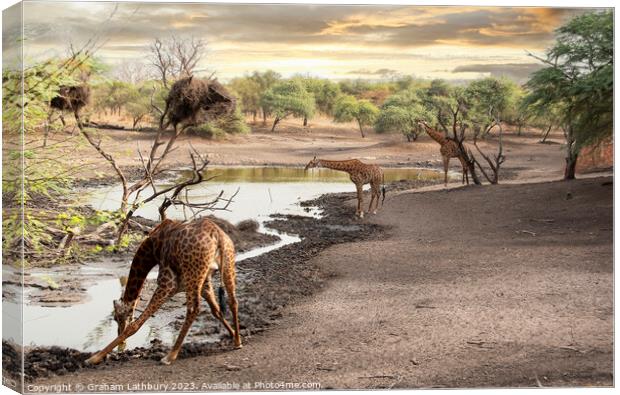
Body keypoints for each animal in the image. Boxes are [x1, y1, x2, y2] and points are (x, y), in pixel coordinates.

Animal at [86, 218, 241, 366]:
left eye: (116, 318)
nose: (121, 342)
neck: (153, 248)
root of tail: (217, 234)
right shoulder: (205, 285)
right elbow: (216, 311)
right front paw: (233, 334)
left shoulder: (167, 283)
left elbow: (135, 324)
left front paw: (93, 358)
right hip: (226, 265)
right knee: (233, 301)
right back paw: (238, 342)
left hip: (193, 274)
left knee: (193, 309)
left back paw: (169, 356)